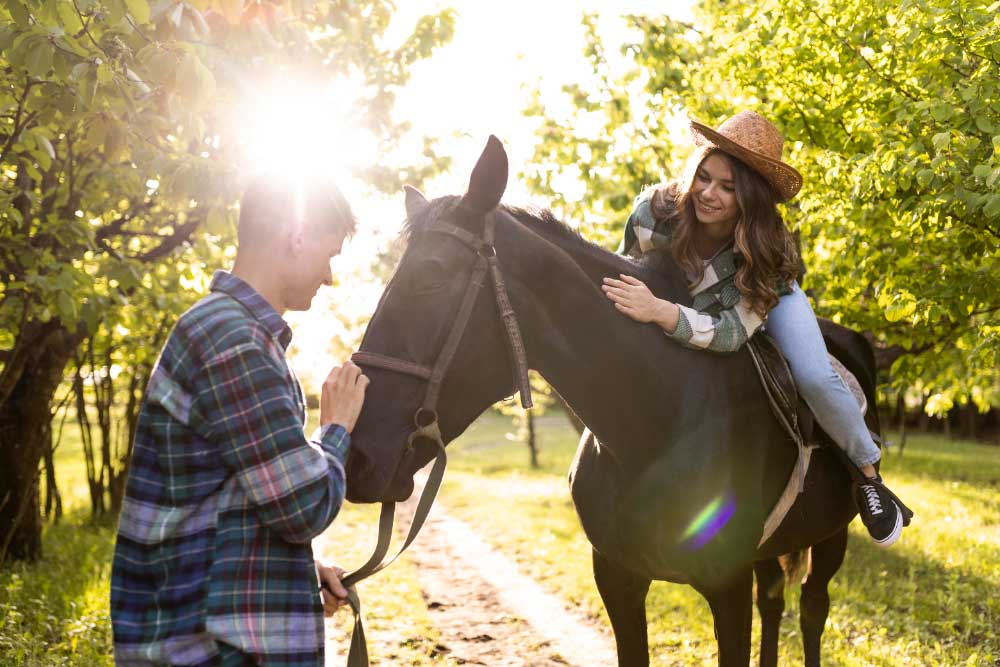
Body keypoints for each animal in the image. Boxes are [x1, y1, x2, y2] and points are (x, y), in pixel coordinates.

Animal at [348, 137, 880, 667]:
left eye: (432, 278)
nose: (356, 457)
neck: (654, 419)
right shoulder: (617, 579)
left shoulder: (727, 585)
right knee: (773, 601)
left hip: (831, 537)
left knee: (812, 610)